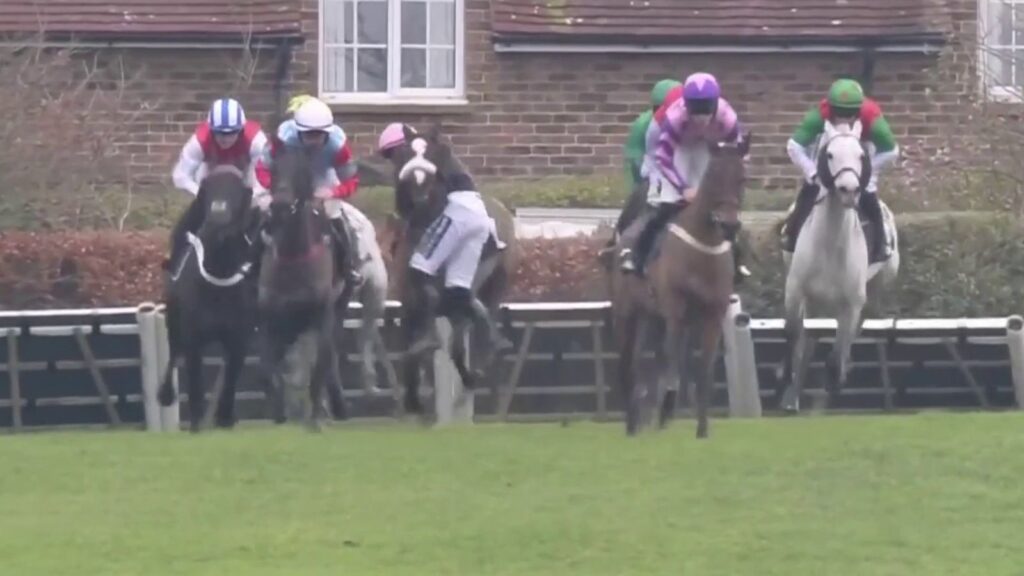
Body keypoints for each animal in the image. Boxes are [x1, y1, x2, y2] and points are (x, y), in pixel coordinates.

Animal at [157, 166, 260, 430]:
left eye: (236, 191)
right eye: (208, 188)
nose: (218, 217)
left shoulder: (238, 338)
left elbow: (231, 376)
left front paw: (225, 417)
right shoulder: (192, 337)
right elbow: (194, 381)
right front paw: (196, 420)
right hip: (174, 322)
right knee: (173, 354)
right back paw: (165, 395)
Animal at [258, 139, 350, 426]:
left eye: (301, 171)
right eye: (274, 169)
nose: (279, 207)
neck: (294, 256)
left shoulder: (322, 315)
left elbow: (319, 366)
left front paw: (316, 418)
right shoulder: (270, 319)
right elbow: (269, 371)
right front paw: (279, 415)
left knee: (330, 356)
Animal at [389, 123, 524, 414]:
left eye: (432, 154)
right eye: (405, 155)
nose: (419, 193)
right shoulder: (408, 302)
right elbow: (410, 346)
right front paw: (413, 398)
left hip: (496, 282)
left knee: (478, 321)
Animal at [606, 132, 753, 436]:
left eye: (742, 178)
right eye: (713, 176)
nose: (730, 226)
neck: (703, 247)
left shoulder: (711, 314)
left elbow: (703, 369)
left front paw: (702, 428)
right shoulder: (674, 310)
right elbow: (671, 359)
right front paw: (664, 409)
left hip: (650, 315)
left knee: (639, 359)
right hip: (626, 312)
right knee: (629, 362)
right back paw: (632, 422)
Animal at [778, 118, 901, 409]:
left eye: (861, 155)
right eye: (830, 154)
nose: (849, 190)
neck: (830, 244)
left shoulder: (852, 303)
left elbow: (839, 347)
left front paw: (834, 380)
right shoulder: (795, 290)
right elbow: (793, 334)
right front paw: (786, 383)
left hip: (875, 293)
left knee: (852, 333)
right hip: (813, 300)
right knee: (808, 340)